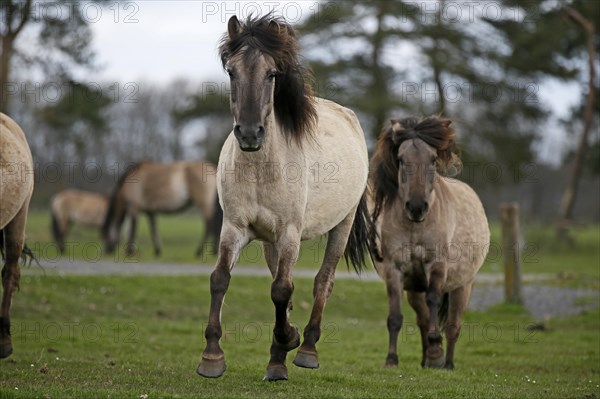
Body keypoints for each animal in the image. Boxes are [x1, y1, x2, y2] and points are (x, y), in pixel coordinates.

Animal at [197, 15, 372, 382]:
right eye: (231, 72)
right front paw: (212, 357)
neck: (261, 168)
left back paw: (306, 349)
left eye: (271, 74)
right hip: (268, 241)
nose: (250, 134)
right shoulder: (234, 228)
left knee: (323, 282)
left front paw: (282, 350)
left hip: (342, 224)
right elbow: (220, 279)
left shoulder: (290, 233)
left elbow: (281, 289)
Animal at [368, 116, 490, 372]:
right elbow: (395, 317)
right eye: (401, 159)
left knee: (453, 325)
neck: (415, 225)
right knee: (423, 319)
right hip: (415, 289)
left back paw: (447, 362)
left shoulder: (436, 264)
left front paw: (436, 350)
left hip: (462, 286)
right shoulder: (395, 269)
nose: (416, 207)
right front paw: (391, 359)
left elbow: (434, 300)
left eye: (433, 159)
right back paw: (426, 362)